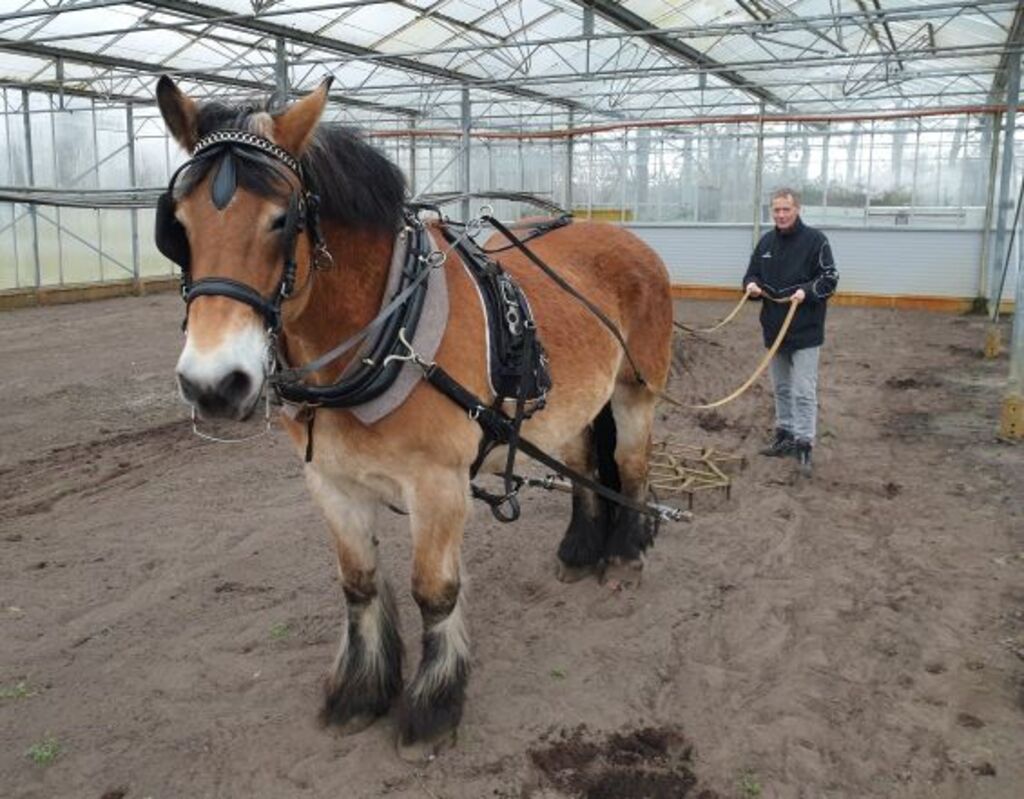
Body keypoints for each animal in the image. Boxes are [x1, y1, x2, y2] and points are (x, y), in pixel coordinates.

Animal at [155, 76, 675, 762]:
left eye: (281, 219)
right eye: (177, 225)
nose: (214, 385)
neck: (380, 335)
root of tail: (627, 240)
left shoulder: (438, 484)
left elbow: (434, 591)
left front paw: (432, 708)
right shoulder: (330, 481)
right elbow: (359, 583)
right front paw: (359, 694)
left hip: (636, 389)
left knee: (631, 465)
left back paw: (624, 557)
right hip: (573, 405)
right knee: (587, 463)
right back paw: (580, 551)